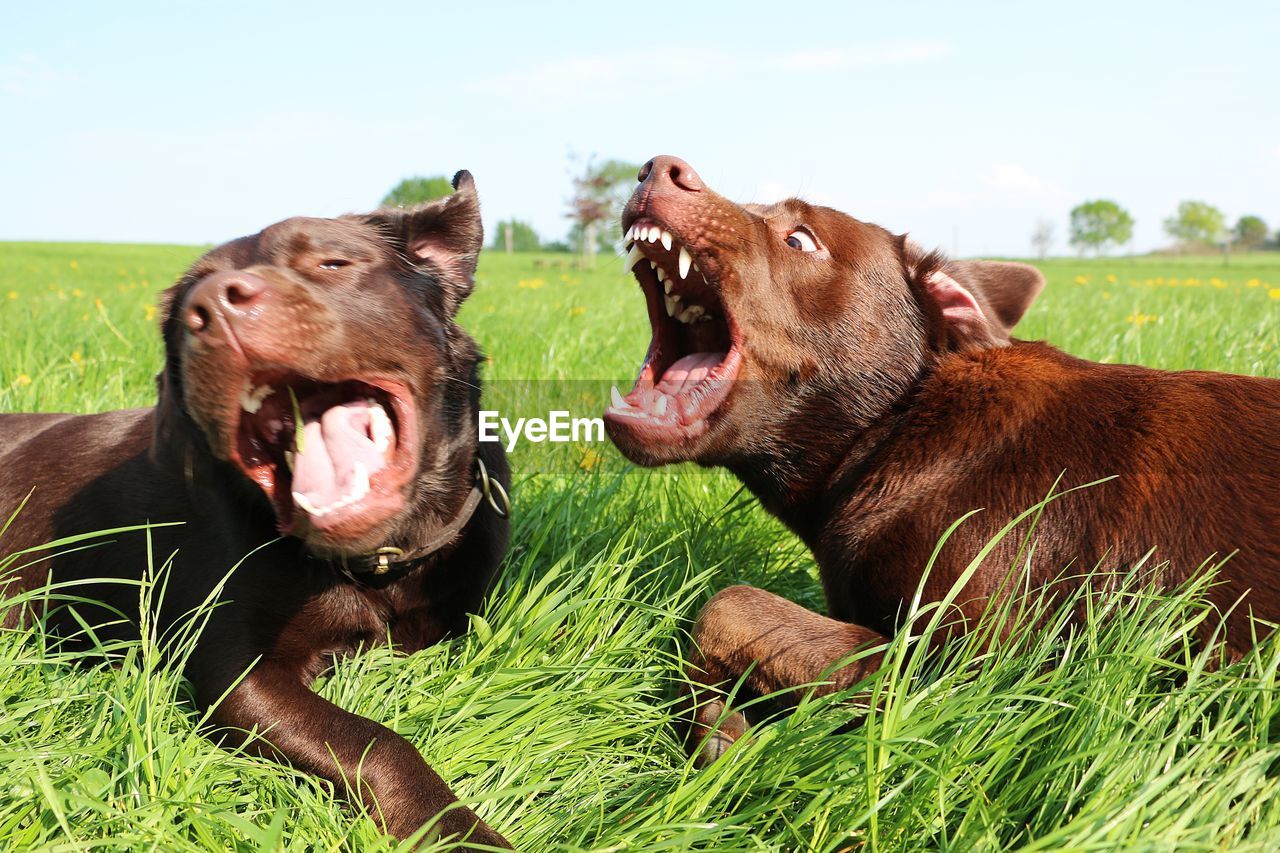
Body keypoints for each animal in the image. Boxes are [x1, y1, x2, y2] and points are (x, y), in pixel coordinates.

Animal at [5, 171, 514, 845]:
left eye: (331, 263)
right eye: (184, 308)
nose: (213, 307)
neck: (375, 565)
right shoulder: (238, 673)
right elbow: (376, 743)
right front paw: (460, 834)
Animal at [604, 153, 1280, 763]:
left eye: (800, 238)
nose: (657, 168)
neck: (896, 425)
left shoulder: (978, 673)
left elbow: (727, 605)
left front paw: (721, 730)